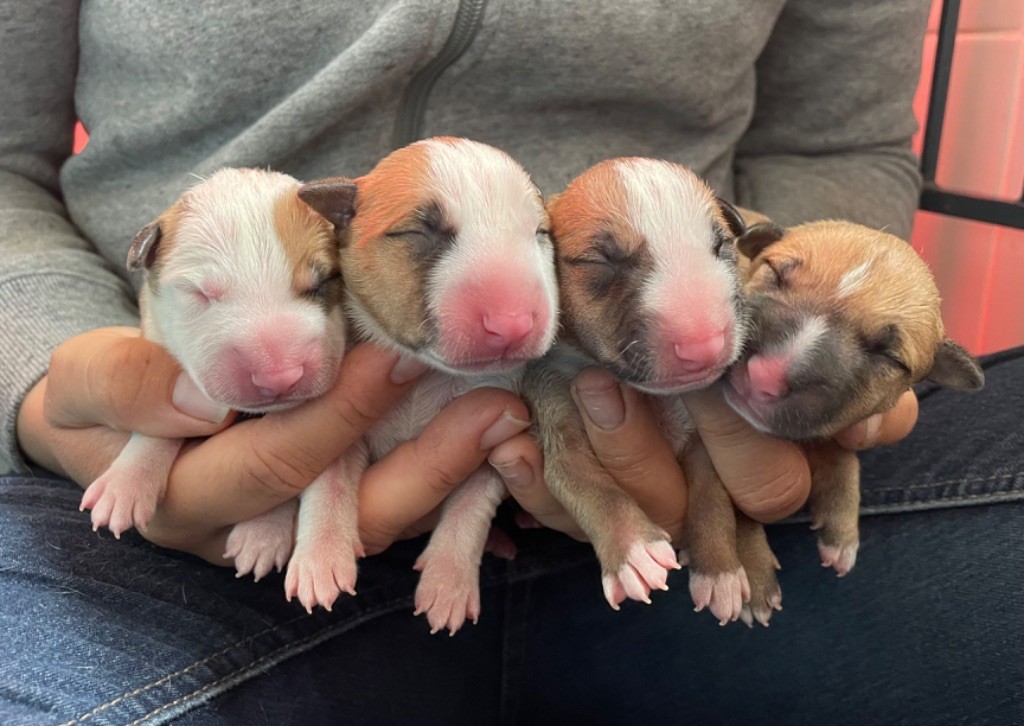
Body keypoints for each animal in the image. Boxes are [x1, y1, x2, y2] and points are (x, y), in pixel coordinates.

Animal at [78, 168, 348, 557]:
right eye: (201, 293)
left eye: (323, 281)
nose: (279, 377)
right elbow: (160, 428)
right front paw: (124, 485)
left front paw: (262, 533)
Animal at [532, 158, 749, 618]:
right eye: (601, 261)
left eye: (721, 245)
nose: (704, 345)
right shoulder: (554, 406)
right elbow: (585, 482)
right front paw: (633, 550)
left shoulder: (699, 437)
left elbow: (712, 495)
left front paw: (719, 569)